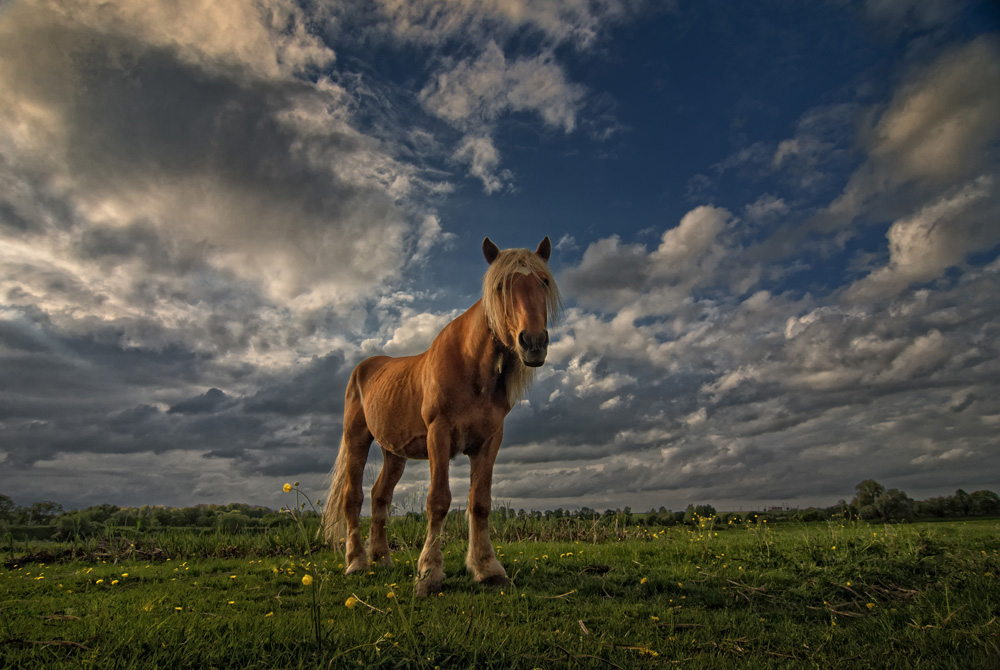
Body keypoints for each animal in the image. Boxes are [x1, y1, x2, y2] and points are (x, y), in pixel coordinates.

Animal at [324, 239, 560, 596]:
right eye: (501, 286)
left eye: (543, 281)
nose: (533, 342)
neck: (470, 367)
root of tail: (364, 368)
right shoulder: (440, 435)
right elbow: (438, 501)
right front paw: (429, 573)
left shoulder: (489, 441)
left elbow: (480, 503)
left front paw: (487, 568)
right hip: (357, 439)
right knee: (353, 498)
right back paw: (357, 562)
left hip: (394, 453)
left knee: (380, 497)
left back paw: (382, 558)